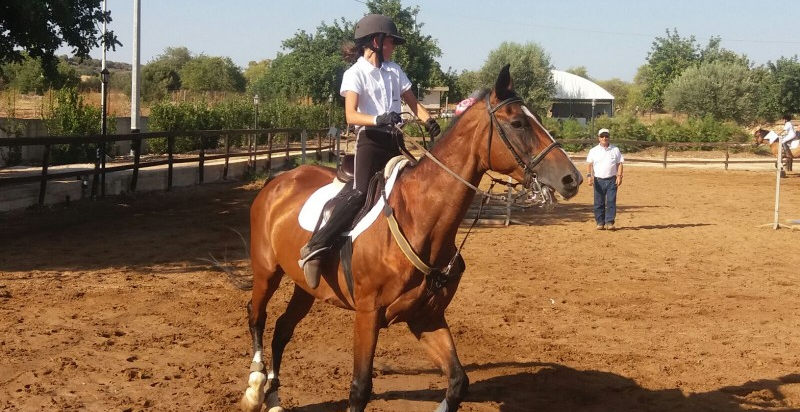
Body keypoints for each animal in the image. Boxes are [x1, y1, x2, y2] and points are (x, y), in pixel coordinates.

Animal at [239, 65, 583, 412]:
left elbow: (458, 381)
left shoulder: (426, 317)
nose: (572, 178)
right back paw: (254, 387)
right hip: (267, 271)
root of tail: (277, 182)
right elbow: (360, 388)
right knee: (257, 315)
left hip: (306, 287)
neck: (419, 219)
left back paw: (274, 397)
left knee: (282, 329)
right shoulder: (368, 314)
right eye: (517, 123)